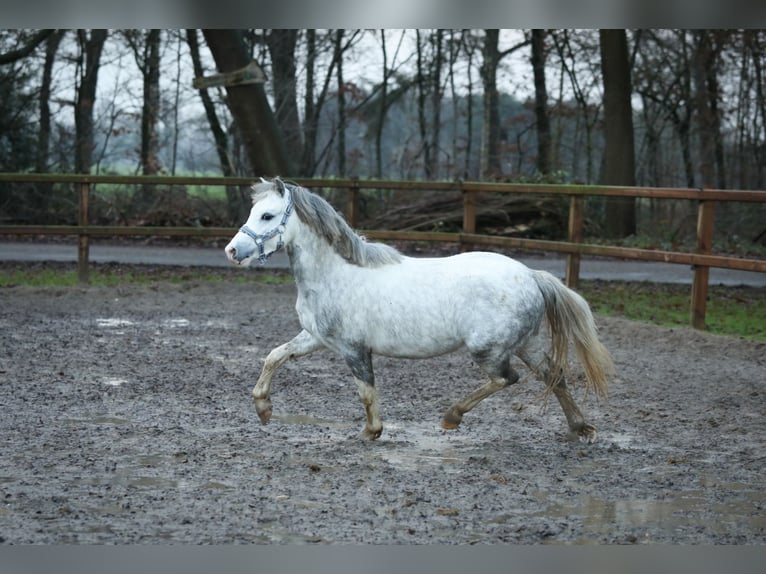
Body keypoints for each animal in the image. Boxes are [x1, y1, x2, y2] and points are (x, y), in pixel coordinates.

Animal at [225, 180, 616, 446]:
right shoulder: (316, 338)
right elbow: (274, 356)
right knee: (554, 375)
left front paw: (371, 431)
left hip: (488, 349)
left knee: (507, 378)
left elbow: (366, 391)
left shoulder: (353, 349)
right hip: (526, 343)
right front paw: (263, 409)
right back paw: (580, 429)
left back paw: (451, 416)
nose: (232, 251)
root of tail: (531, 275)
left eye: (267, 215)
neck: (335, 274)